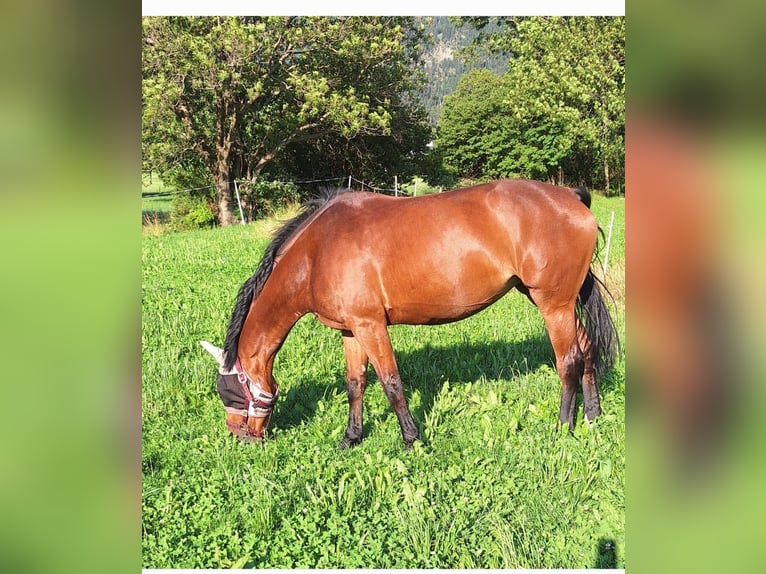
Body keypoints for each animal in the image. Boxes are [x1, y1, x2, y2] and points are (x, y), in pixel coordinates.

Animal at [207, 178, 620, 448]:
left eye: (227, 392)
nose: (238, 437)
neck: (317, 250)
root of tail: (571, 196)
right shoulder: (351, 329)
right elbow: (355, 384)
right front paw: (351, 437)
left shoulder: (371, 325)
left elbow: (391, 383)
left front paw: (411, 438)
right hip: (557, 302)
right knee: (586, 351)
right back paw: (593, 415)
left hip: (553, 304)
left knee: (568, 360)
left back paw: (563, 427)